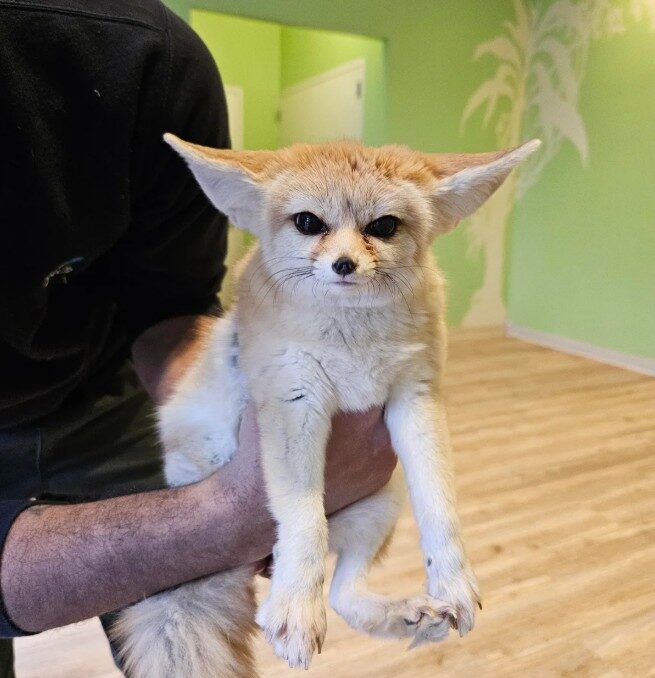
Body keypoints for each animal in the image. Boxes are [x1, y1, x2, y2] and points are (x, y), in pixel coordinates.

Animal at [110, 135, 540, 677]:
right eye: (308, 223)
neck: (352, 338)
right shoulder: (295, 404)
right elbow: (303, 521)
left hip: (382, 506)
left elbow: (440, 505)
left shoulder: (415, 398)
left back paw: (402, 613)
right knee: (296, 561)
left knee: (343, 593)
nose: (343, 266)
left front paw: (453, 581)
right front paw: (297, 606)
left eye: (383, 226)